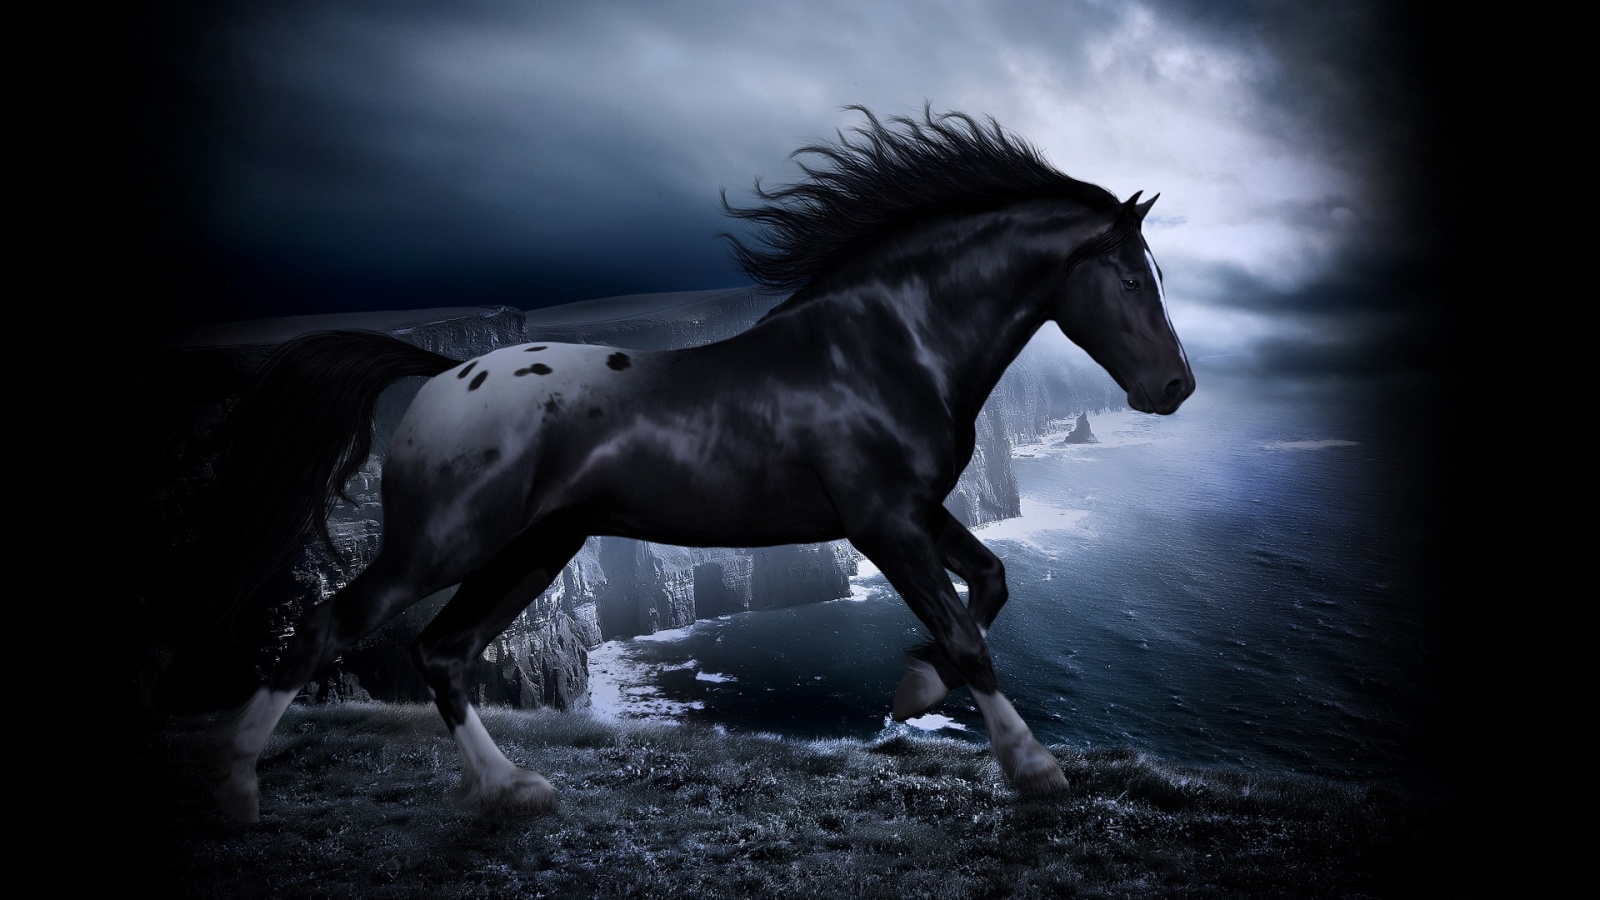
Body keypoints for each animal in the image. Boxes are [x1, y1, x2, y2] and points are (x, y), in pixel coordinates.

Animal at [207, 106, 1194, 822]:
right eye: (1131, 277)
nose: (1177, 387)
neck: (884, 345)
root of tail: (445, 370)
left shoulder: (917, 511)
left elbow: (990, 582)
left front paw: (914, 688)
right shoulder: (882, 522)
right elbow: (964, 631)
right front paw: (1032, 767)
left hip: (535, 550)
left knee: (443, 652)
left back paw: (510, 791)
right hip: (444, 542)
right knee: (329, 627)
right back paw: (237, 790)